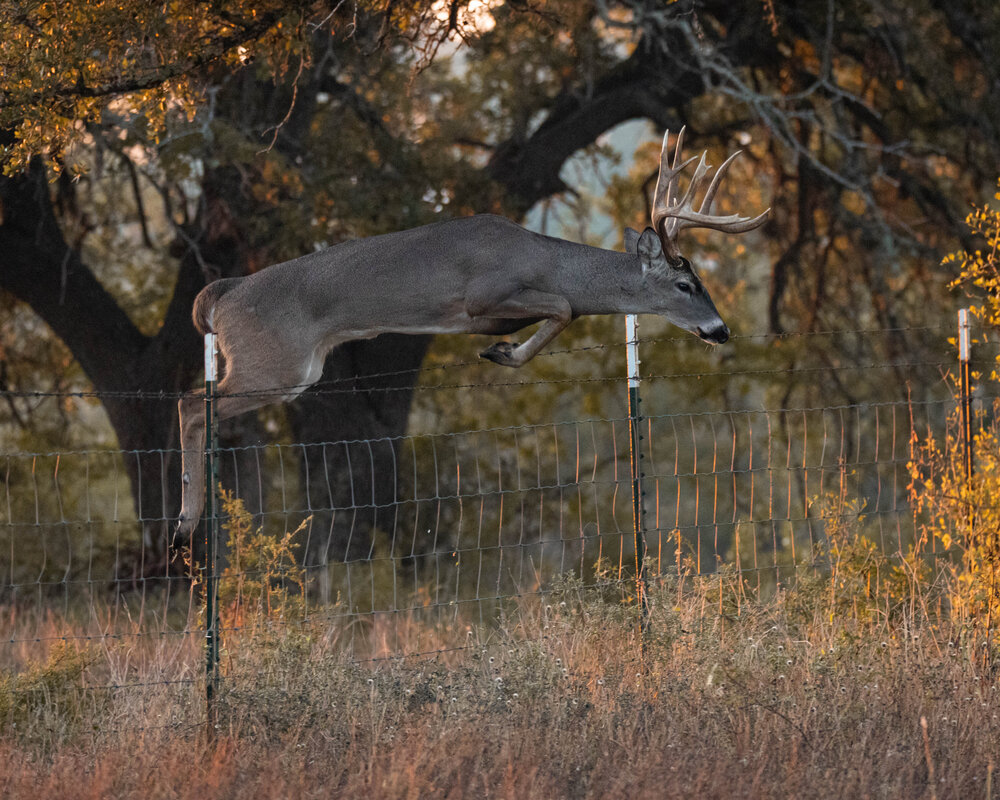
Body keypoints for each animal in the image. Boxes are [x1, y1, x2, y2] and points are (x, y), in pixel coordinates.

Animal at [176, 128, 768, 536]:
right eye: (686, 284)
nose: (720, 330)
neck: (544, 260)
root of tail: (221, 294)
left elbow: (561, 311)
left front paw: (502, 350)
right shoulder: (483, 296)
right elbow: (562, 307)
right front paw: (502, 352)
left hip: (292, 369)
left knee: (197, 403)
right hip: (274, 362)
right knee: (190, 402)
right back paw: (186, 521)